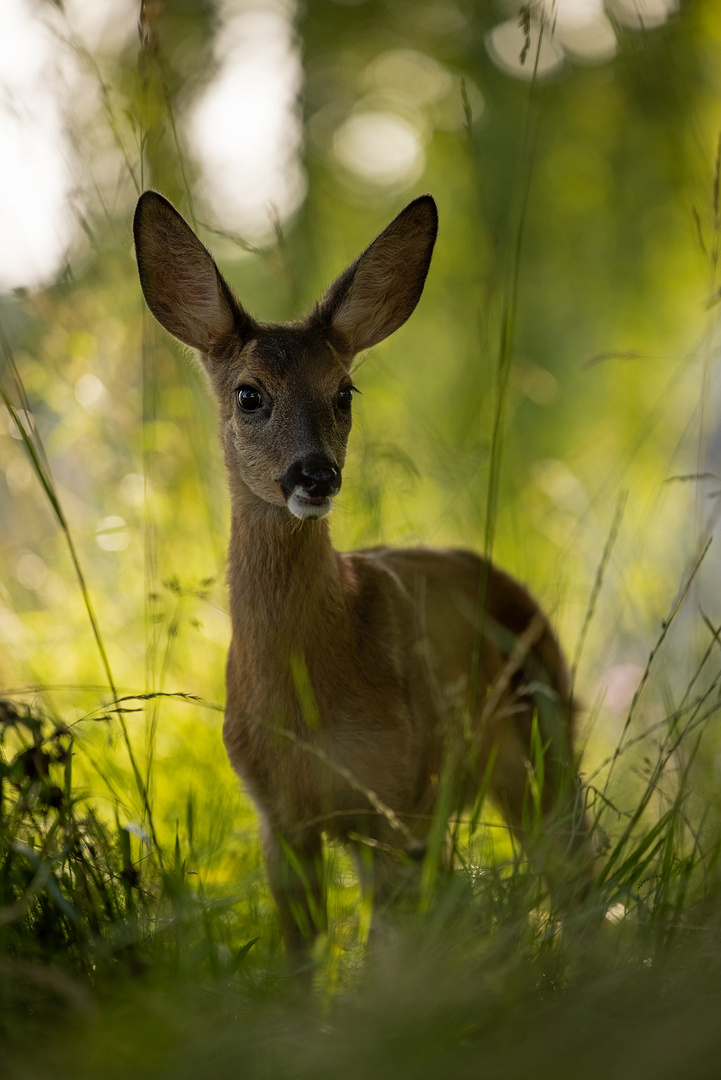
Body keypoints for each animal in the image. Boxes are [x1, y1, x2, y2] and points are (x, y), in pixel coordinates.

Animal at [133, 192, 591, 963]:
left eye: (344, 392)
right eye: (249, 394)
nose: (315, 474)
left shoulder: (395, 792)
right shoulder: (279, 816)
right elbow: (302, 955)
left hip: (538, 736)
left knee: (572, 867)